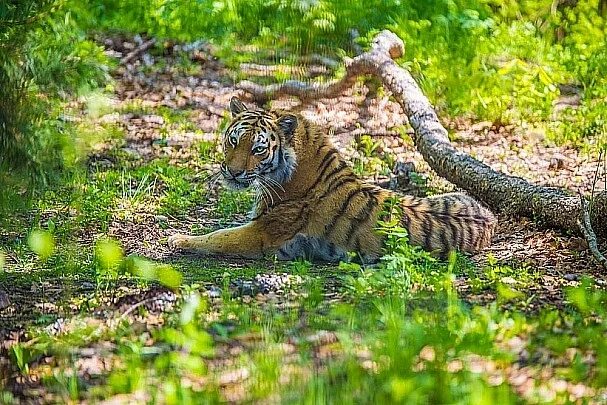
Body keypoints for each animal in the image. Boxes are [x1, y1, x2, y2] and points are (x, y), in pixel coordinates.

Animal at [167, 97, 498, 262]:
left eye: (258, 149)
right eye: (233, 141)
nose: (233, 172)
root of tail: (490, 218)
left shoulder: (263, 233)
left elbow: (218, 237)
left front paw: (177, 239)